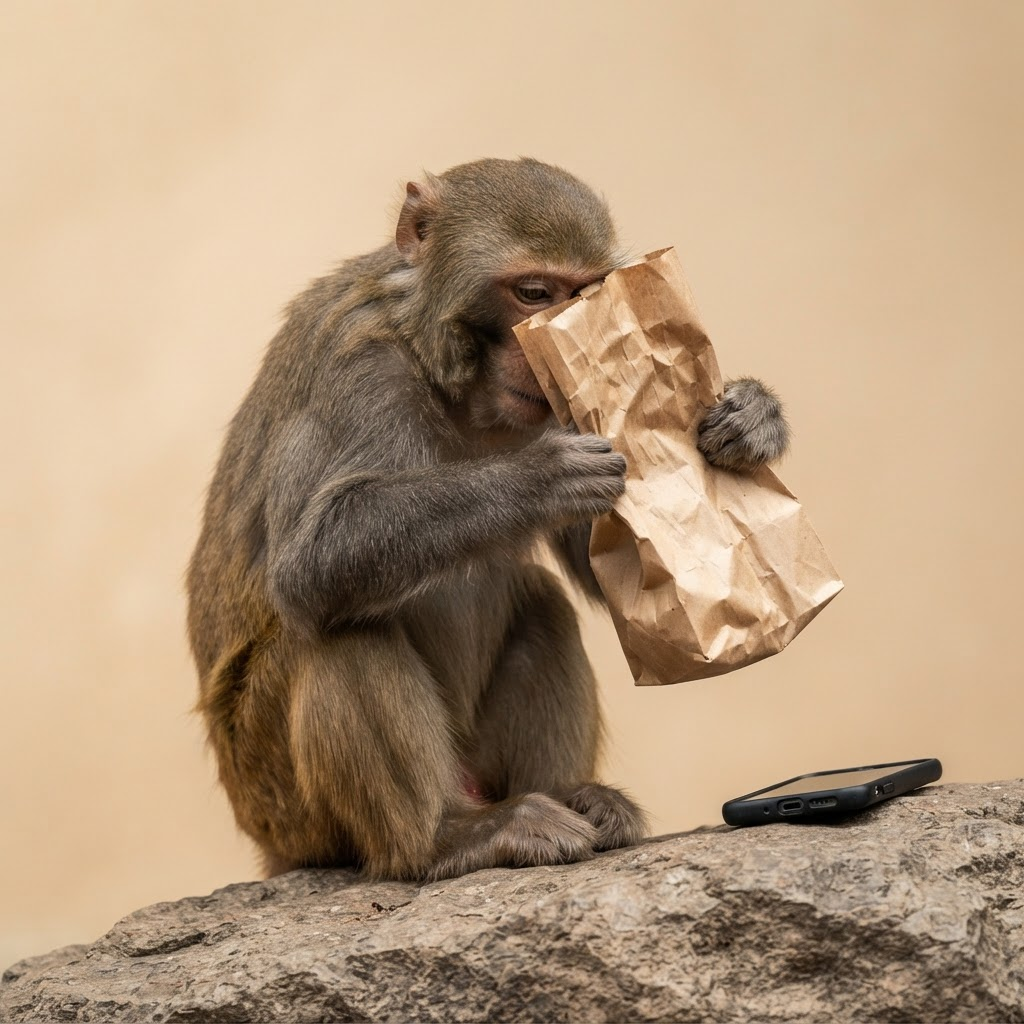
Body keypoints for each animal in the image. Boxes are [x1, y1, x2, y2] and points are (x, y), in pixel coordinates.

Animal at [186, 157, 789, 882]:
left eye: (579, 295)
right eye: (532, 293)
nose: (543, 346)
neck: (445, 369)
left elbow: (612, 567)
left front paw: (754, 418)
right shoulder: (357, 368)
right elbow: (311, 564)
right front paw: (538, 480)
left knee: (542, 602)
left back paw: (576, 802)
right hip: (286, 804)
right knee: (342, 627)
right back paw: (448, 839)